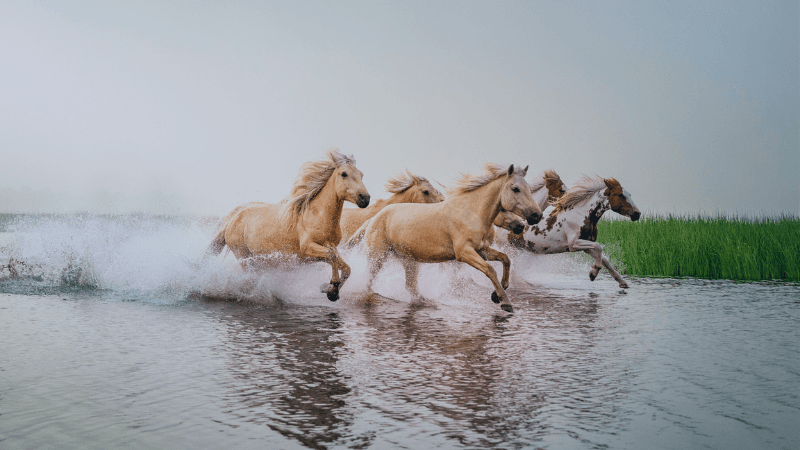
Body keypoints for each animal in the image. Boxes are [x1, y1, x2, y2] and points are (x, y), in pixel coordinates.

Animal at [206, 149, 371, 301]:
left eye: (361, 174)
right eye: (344, 174)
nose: (365, 198)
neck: (317, 216)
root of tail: (232, 220)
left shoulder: (325, 249)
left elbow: (344, 266)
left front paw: (330, 290)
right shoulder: (308, 248)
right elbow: (333, 257)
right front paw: (332, 287)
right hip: (243, 256)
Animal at [349, 163, 542, 312]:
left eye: (528, 188)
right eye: (515, 188)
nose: (536, 216)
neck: (471, 213)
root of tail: (374, 218)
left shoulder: (482, 250)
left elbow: (505, 259)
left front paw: (498, 292)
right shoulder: (464, 253)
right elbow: (490, 269)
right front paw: (505, 302)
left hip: (409, 260)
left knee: (410, 287)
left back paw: (427, 302)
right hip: (377, 256)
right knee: (368, 282)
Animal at [511, 175, 640, 288]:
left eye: (629, 194)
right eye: (620, 195)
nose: (637, 213)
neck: (581, 215)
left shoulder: (586, 246)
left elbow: (605, 260)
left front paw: (622, 283)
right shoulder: (573, 244)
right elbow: (598, 247)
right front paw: (593, 273)